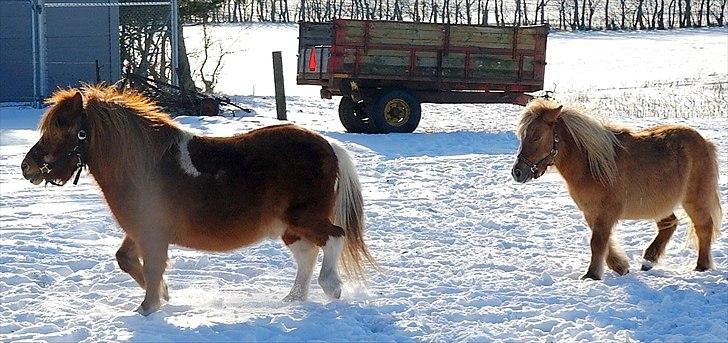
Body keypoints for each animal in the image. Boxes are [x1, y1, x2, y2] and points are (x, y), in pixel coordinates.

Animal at [21, 85, 376, 314]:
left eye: (63, 130)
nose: (27, 167)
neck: (144, 166)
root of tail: (329, 146)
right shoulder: (140, 231)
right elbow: (126, 260)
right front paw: (164, 294)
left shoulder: (152, 234)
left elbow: (152, 267)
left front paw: (148, 307)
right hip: (289, 226)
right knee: (307, 254)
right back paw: (294, 298)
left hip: (304, 218)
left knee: (333, 239)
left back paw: (331, 286)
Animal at [512, 98, 724, 280]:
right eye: (523, 136)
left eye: (537, 137)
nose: (517, 172)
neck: (591, 165)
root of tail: (705, 142)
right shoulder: (592, 213)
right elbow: (602, 242)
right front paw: (620, 267)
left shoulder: (605, 213)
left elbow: (597, 243)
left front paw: (592, 275)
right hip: (660, 204)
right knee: (669, 224)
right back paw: (649, 260)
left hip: (694, 199)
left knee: (704, 227)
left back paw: (701, 267)